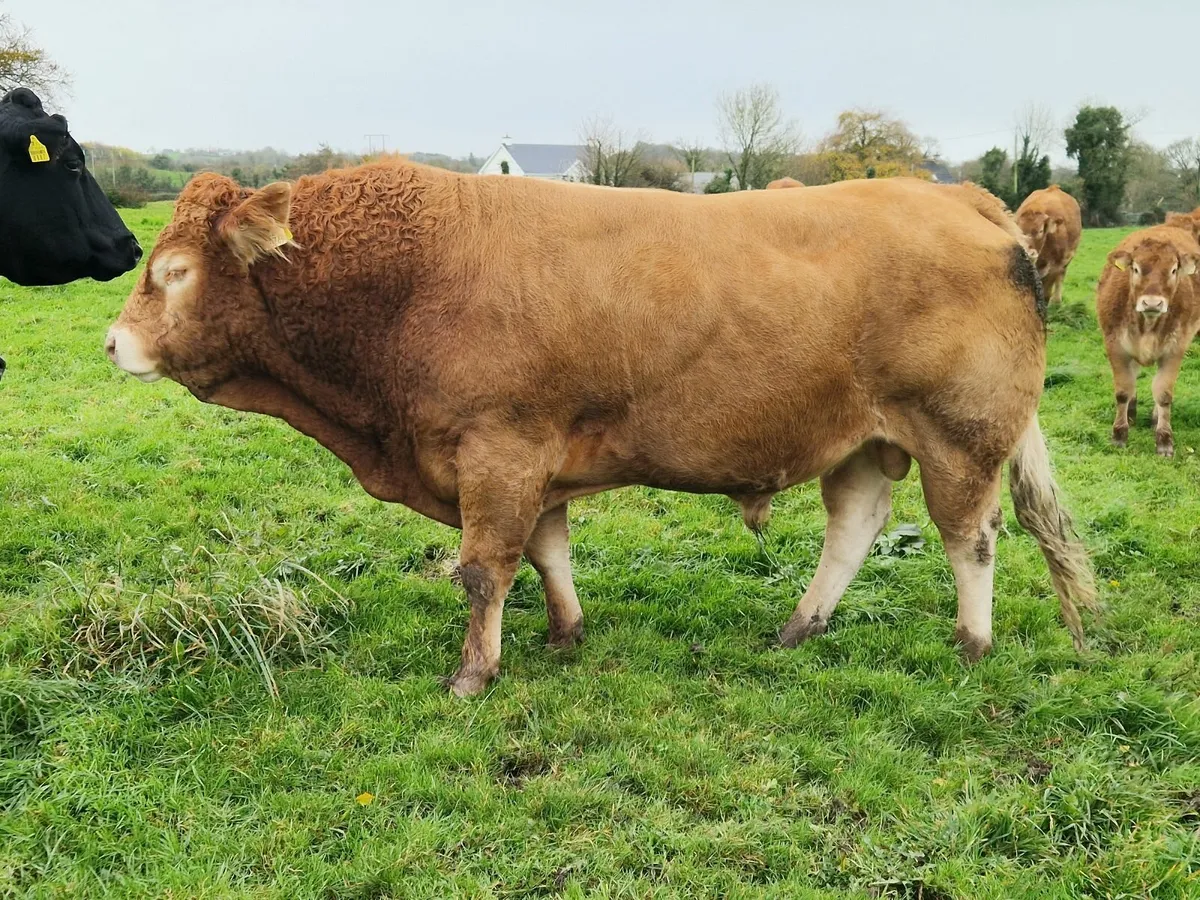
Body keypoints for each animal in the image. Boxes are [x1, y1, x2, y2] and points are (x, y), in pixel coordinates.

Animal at [106, 165, 1096, 696]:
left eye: (175, 271)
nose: (114, 342)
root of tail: (964, 198)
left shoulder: (497, 453)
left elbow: (483, 569)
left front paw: (472, 675)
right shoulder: (530, 458)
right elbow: (548, 553)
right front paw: (564, 633)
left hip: (960, 437)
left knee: (972, 537)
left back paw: (972, 643)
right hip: (858, 440)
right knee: (854, 527)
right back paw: (798, 628)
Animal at [1097, 224, 1200, 457]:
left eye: (1173, 270)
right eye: (1136, 268)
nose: (1152, 303)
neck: (1147, 324)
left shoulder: (1175, 350)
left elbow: (1163, 393)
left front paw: (1164, 440)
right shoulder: (1116, 346)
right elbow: (1123, 391)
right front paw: (1119, 435)